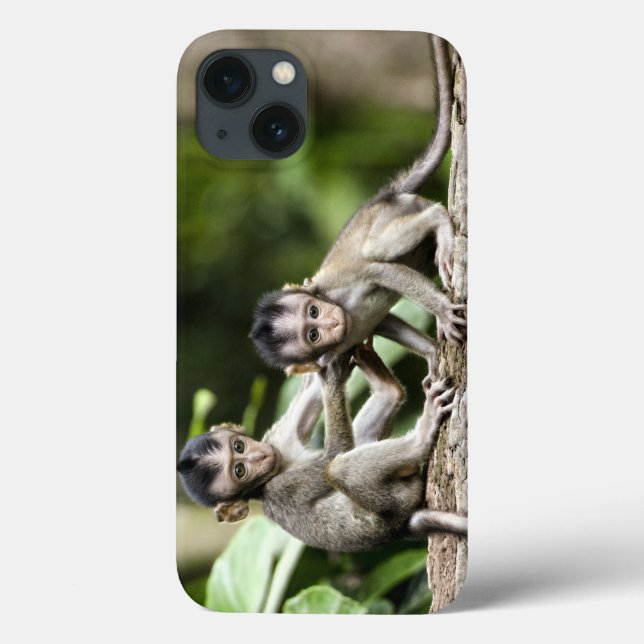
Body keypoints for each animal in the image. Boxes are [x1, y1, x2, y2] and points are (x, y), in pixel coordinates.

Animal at [177, 345, 467, 552]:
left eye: (239, 445)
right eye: (240, 471)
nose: (259, 455)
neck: (279, 467)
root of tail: (402, 528)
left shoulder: (277, 438)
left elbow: (306, 402)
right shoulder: (282, 489)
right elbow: (334, 453)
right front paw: (332, 377)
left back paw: (388, 388)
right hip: (398, 500)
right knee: (339, 468)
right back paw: (422, 432)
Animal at [249, 34, 466, 375]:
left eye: (313, 312)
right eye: (313, 334)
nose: (331, 322)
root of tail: (379, 198)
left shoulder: (342, 287)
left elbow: (379, 270)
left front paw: (443, 311)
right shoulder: (338, 349)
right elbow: (384, 322)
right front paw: (433, 355)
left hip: (386, 213)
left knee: (378, 246)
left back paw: (438, 218)